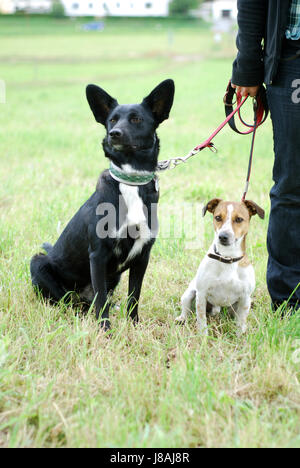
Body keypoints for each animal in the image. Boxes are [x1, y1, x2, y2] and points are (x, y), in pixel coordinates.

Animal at [29, 78, 175, 330]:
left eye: (136, 119)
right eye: (112, 120)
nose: (114, 134)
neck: (130, 180)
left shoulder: (143, 256)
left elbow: (134, 296)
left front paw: (133, 326)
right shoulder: (97, 256)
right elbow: (101, 299)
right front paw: (105, 331)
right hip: (38, 263)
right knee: (68, 301)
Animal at [176, 199, 264, 334]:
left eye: (239, 219)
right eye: (218, 217)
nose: (222, 236)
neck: (227, 258)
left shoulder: (245, 298)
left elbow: (240, 323)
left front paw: (239, 337)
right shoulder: (201, 295)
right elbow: (201, 320)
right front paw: (203, 337)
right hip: (189, 294)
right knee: (186, 308)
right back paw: (182, 318)